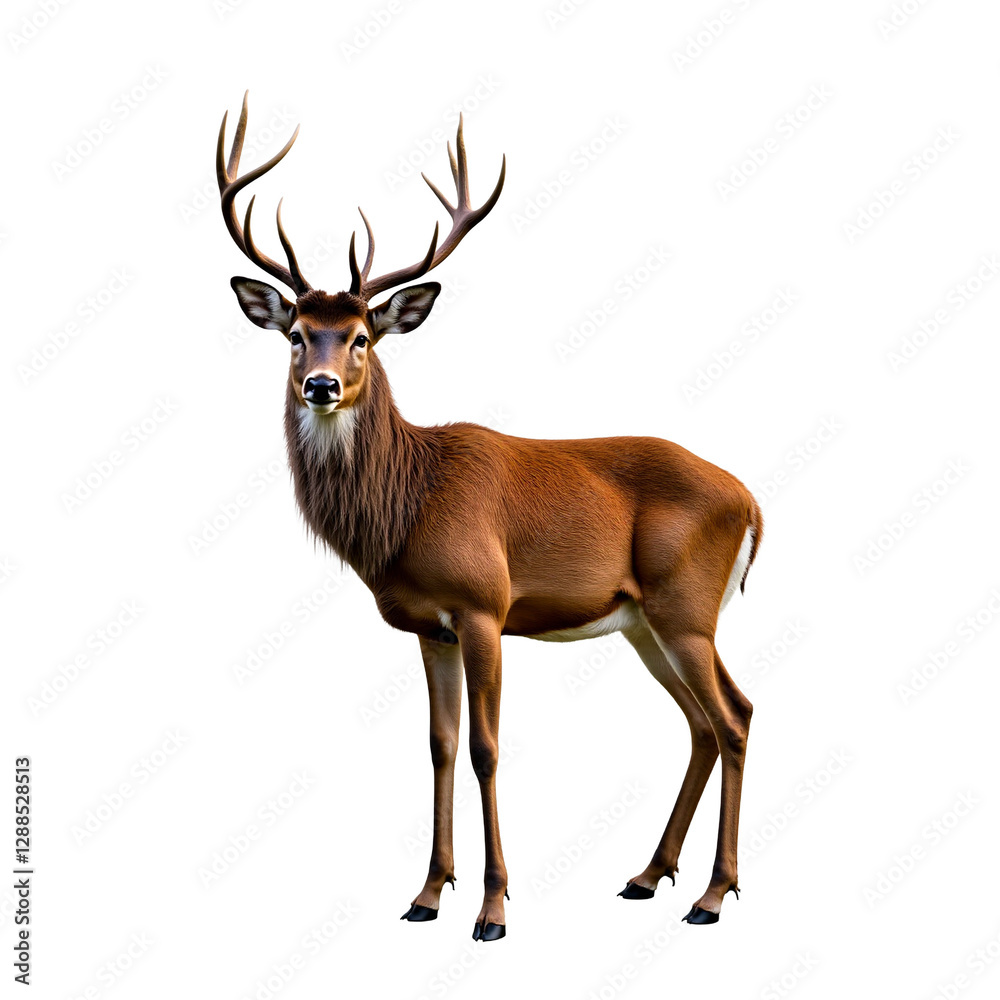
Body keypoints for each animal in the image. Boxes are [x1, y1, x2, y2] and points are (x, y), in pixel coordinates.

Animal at [217, 93, 763, 942]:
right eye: (297, 334)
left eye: (363, 337)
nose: (320, 385)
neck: (409, 505)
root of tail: (754, 503)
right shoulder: (429, 626)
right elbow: (439, 746)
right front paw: (425, 894)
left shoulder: (483, 605)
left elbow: (484, 747)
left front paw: (494, 908)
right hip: (646, 622)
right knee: (703, 724)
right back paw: (647, 877)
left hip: (686, 606)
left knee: (735, 716)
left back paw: (710, 895)